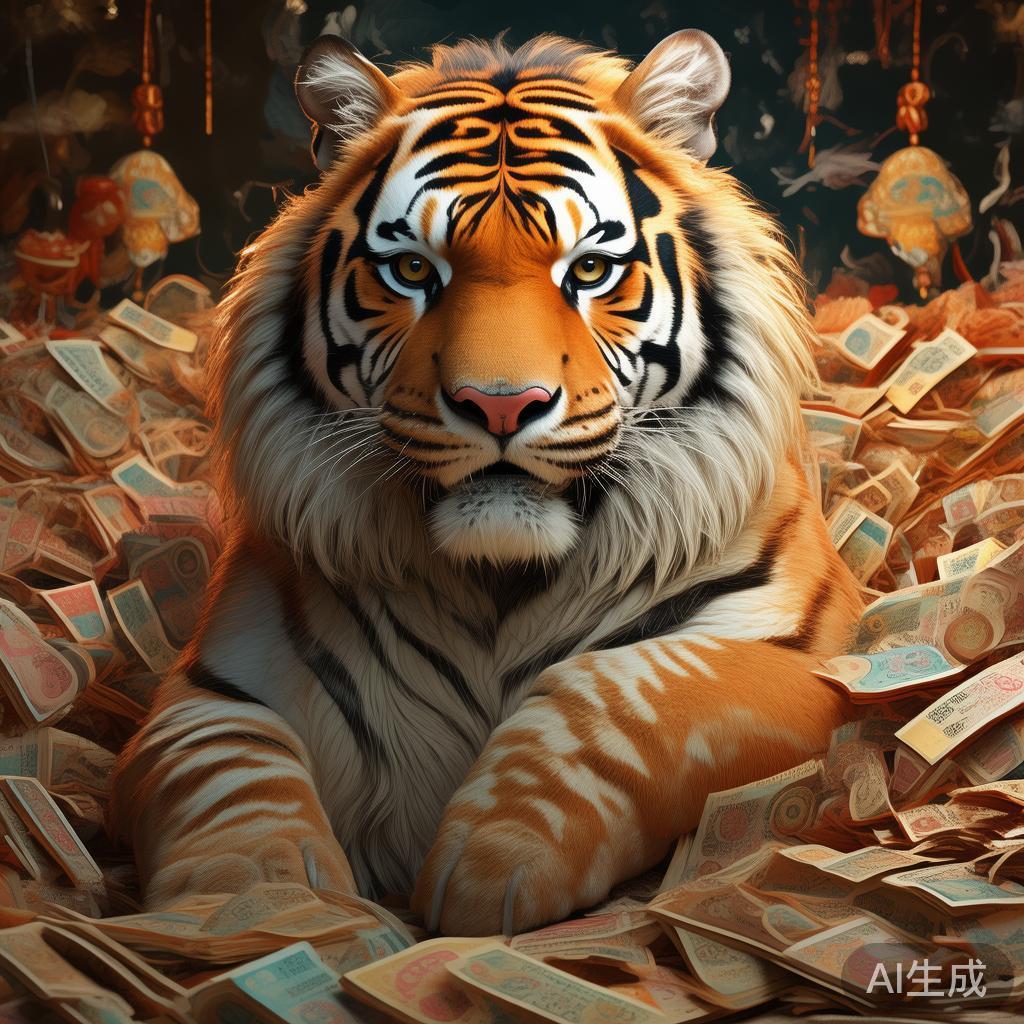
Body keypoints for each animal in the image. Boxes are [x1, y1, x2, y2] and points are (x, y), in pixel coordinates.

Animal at [110, 29, 864, 937]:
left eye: (590, 270)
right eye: (410, 270)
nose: (500, 405)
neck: (499, 579)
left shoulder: (809, 666)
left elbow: (629, 688)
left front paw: (500, 852)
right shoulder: (213, 686)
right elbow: (227, 769)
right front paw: (259, 905)